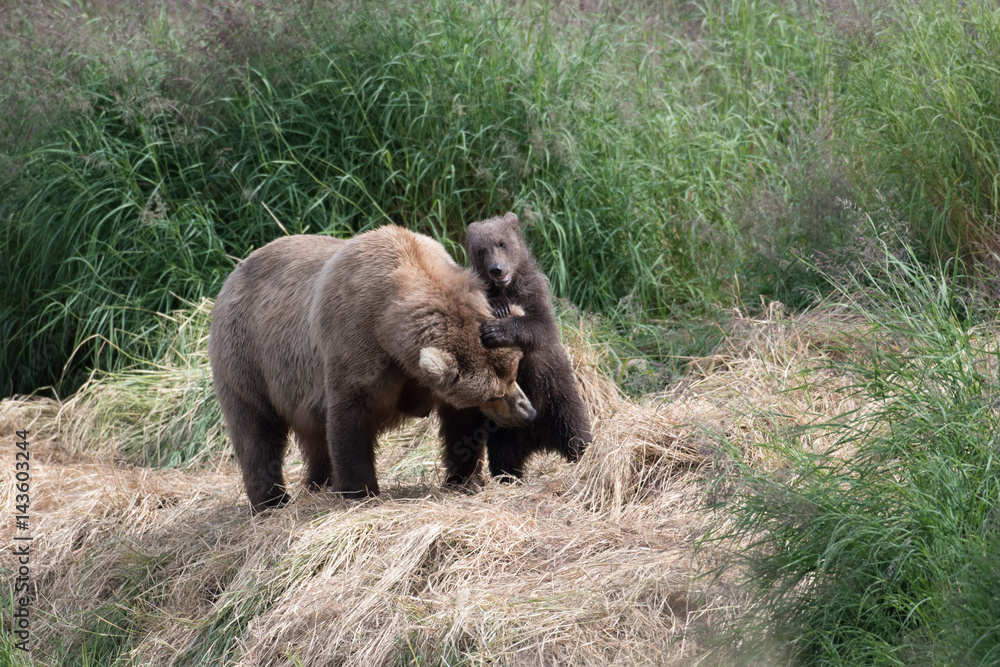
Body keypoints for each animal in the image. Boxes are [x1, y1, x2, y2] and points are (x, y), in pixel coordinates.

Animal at [211, 226, 536, 512]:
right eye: (494, 394)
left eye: (513, 374)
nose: (527, 412)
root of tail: (233, 274)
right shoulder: (356, 343)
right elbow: (350, 416)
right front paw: (359, 491)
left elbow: (461, 422)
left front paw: (465, 479)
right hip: (248, 355)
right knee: (256, 429)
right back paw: (270, 501)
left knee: (312, 435)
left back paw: (318, 483)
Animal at [440, 214, 592, 480]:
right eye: (481, 250)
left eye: (502, 243)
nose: (496, 269)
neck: (507, 288)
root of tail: (539, 441)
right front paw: (498, 308)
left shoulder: (535, 294)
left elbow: (539, 326)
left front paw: (496, 330)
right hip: (505, 427)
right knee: (505, 454)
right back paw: (508, 476)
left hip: (558, 395)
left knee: (575, 428)